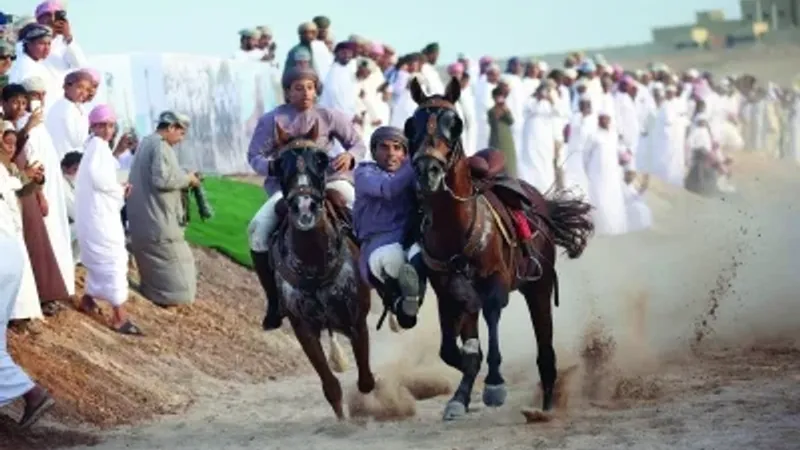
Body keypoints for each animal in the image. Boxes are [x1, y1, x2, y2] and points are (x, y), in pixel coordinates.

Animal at [264, 122, 374, 418]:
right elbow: (331, 386)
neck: (314, 265)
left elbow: (366, 381)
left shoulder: (356, 321)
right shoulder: (304, 329)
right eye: (278, 164)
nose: (305, 208)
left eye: (322, 160)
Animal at [406, 77, 592, 422]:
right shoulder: (448, 292)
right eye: (412, 124)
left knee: (545, 345)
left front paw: (494, 384)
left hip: (539, 286)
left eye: (455, 124)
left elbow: (492, 317)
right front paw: (461, 392)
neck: (456, 228)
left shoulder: (496, 281)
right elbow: (452, 350)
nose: (428, 170)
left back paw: (547, 403)